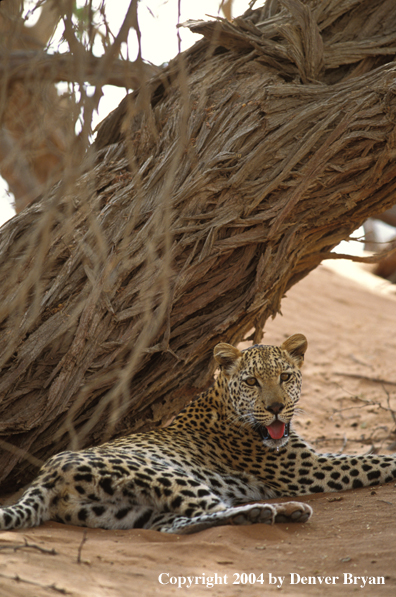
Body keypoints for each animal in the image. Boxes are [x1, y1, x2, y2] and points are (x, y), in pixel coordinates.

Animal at [0, 332, 396, 532]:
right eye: (251, 382)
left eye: (285, 377)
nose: (275, 408)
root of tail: (46, 475)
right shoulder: (308, 470)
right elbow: (376, 461)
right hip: (168, 475)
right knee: (211, 509)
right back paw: (278, 511)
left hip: (122, 512)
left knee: (179, 523)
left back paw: (265, 514)